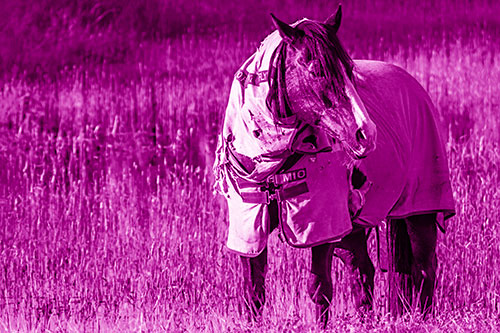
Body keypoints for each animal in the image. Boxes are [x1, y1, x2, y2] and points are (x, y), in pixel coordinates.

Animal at [213, 5, 456, 326]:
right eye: (317, 70)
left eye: (350, 70)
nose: (366, 133)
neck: (273, 158)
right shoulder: (250, 225)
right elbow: (253, 291)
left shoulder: (322, 225)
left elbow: (319, 287)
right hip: (354, 229)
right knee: (362, 271)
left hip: (420, 212)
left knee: (425, 268)